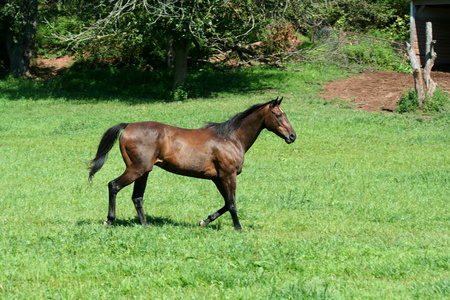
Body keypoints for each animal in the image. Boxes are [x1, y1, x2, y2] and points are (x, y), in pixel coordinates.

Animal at [89, 97, 298, 231]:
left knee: (137, 198)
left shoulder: (217, 178)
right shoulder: (228, 176)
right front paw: (238, 228)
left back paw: (146, 225)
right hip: (136, 169)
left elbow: (226, 202)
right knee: (113, 185)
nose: (292, 136)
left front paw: (204, 221)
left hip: (143, 171)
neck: (230, 138)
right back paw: (109, 221)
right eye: (278, 115)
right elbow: (232, 204)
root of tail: (128, 126)